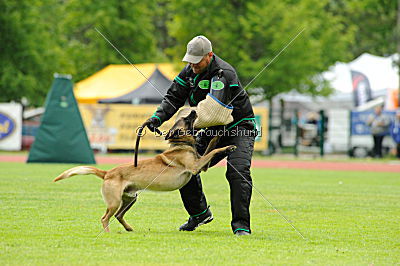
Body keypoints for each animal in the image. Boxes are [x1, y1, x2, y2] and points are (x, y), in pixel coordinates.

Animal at [52, 110, 234, 233]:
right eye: (185, 119)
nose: (194, 110)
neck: (182, 144)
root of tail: (107, 173)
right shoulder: (196, 167)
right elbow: (212, 151)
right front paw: (228, 146)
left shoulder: (202, 166)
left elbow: (211, 148)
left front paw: (219, 135)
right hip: (115, 201)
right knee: (105, 218)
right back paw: (108, 233)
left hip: (130, 198)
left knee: (118, 216)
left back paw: (129, 228)